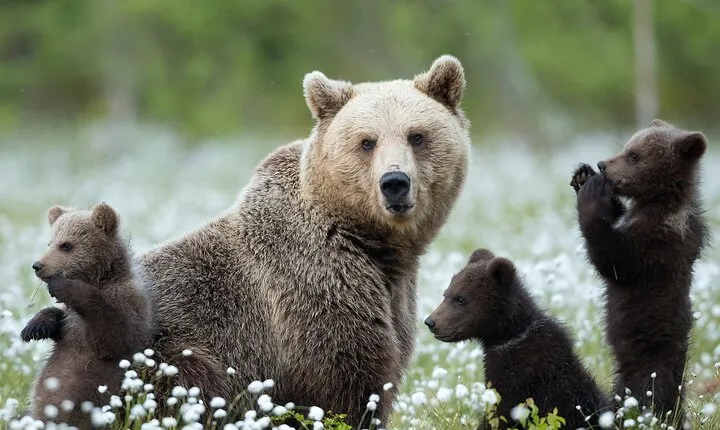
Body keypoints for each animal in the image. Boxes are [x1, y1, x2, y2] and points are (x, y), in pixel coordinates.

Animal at [21, 203, 153, 428]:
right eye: (50, 242)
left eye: (66, 245)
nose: (38, 265)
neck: (101, 279)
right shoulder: (70, 323)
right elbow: (59, 320)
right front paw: (34, 327)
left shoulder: (128, 303)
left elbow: (113, 335)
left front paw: (64, 286)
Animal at [134, 55, 471, 427]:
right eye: (367, 141)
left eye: (417, 136)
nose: (394, 182)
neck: (371, 243)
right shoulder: (314, 289)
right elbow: (346, 383)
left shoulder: (395, 296)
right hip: (167, 352)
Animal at [424, 248, 609, 430]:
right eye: (446, 294)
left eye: (461, 298)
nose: (430, 322)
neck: (508, 336)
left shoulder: (522, 377)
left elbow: (500, 413)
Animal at [570, 119, 710, 427]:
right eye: (625, 147)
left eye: (634, 156)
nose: (603, 165)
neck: (659, 202)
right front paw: (583, 175)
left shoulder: (656, 245)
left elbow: (613, 260)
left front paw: (592, 194)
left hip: (650, 360)